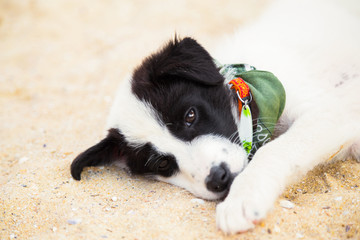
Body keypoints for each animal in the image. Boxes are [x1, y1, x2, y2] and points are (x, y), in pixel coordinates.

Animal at [71, 0, 360, 234]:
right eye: (162, 164)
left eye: (190, 115)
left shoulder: (333, 109)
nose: (218, 178)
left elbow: (277, 150)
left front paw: (244, 199)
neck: (253, 92)